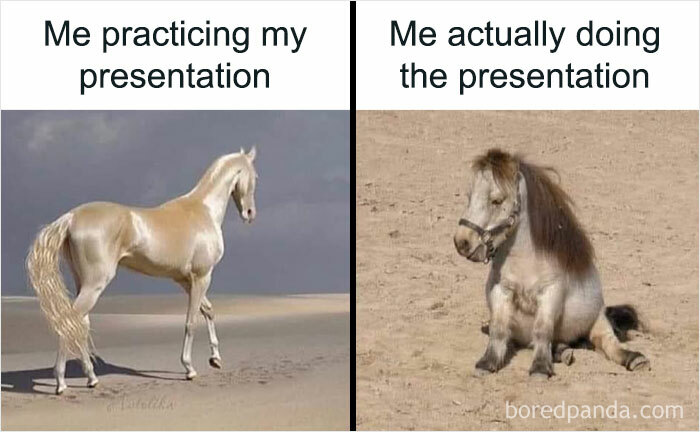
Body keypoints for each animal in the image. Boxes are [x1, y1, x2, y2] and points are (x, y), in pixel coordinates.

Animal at [26, 147, 257, 395]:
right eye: (255, 177)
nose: (250, 213)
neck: (202, 211)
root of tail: (71, 217)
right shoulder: (202, 277)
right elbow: (191, 322)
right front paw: (189, 368)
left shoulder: (186, 280)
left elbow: (209, 311)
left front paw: (215, 359)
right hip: (95, 284)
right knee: (69, 322)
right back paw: (61, 383)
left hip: (84, 284)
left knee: (79, 324)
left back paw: (91, 378)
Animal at [453, 148, 649, 378]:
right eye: (469, 197)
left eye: (496, 200)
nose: (462, 242)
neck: (525, 262)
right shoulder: (501, 290)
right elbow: (499, 329)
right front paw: (487, 363)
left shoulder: (551, 292)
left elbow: (542, 329)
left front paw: (540, 368)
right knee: (558, 343)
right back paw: (563, 353)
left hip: (598, 320)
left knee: (607, 342)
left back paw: (635, 358)